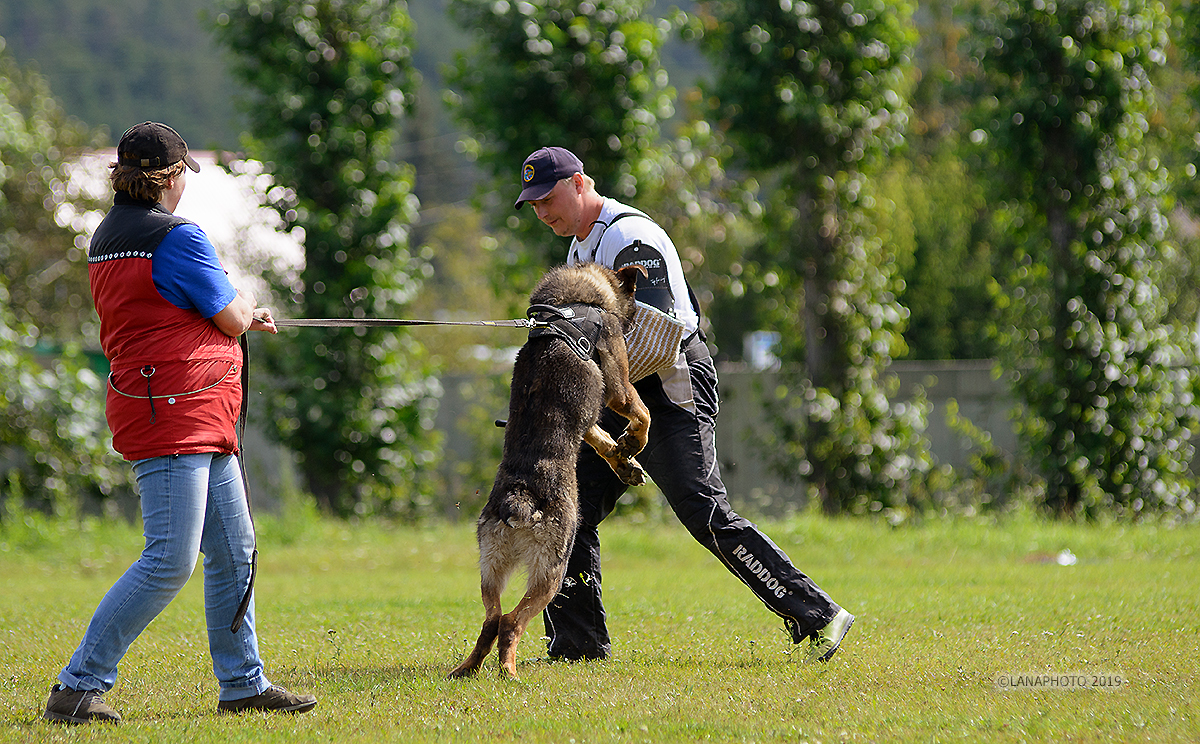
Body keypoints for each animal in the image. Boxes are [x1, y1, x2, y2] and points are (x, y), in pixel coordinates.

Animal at [451, 262, 652, 681]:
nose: (635, 320)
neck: (570, 304)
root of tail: (519, 499)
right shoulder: (617, 384)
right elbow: (641, 413)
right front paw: (633, 444)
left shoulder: (589, 420)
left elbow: (601, 438)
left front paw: (623, 459)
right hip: (552, 572)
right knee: (511, 622)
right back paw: (508, 672)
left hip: (491, 566)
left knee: (491, 620)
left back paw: (468, 669)